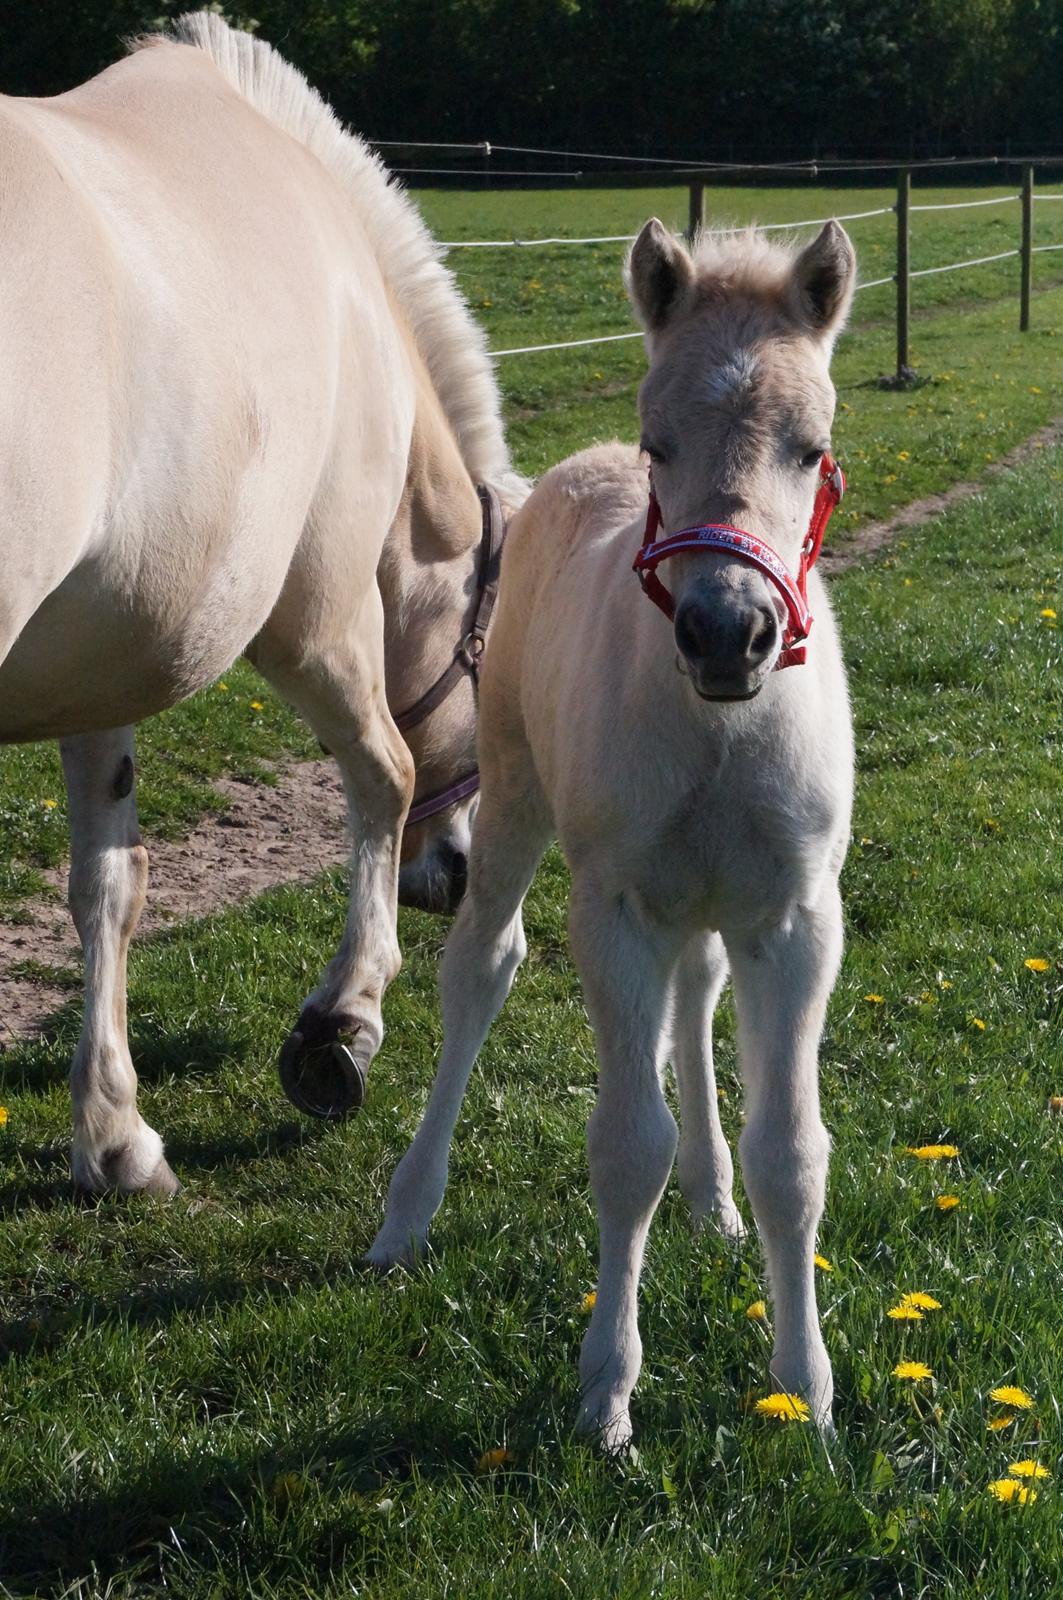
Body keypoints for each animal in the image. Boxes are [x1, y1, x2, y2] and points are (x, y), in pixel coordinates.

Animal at [0, 9, 521, 1190]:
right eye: (486, 656)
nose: (456, 871)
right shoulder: (321, 617)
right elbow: (385, 772)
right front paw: (346, 1022)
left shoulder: (105, 653)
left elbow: (108, 884)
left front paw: (114, 1134)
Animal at [369, 219, 858, 1446]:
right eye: (658, 443)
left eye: (810, 448)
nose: (727, 630)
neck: (716, 725)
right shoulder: (615, 911)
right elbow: (626, 1147)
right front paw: (607, 1393)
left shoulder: (793, 918)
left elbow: (794, 1155)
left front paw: (806, 1390)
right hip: (514, 797)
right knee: (480, 968)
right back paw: (405, 1215)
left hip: (705, 902)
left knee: (696, 996)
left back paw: (713, 1199)